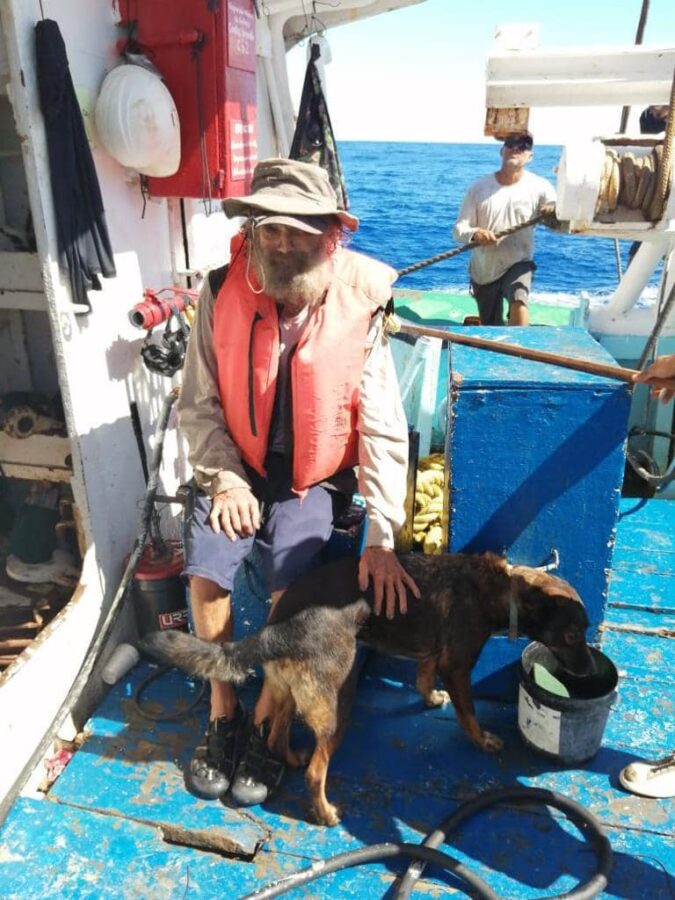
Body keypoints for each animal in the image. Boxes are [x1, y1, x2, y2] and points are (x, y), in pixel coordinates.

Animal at [143, 548, 592, 824]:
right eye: (572, 635)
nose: (588, 672)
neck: (504, 589)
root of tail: (277, 629)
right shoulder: (457, 665)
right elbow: (467, 713)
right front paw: (482, 740)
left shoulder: (432, 653)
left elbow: (423, 675)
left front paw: (430, 697)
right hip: (338, 703)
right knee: (316, 771)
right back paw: (324, 813)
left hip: (288, 691)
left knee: (274, 734)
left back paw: (290, 757)